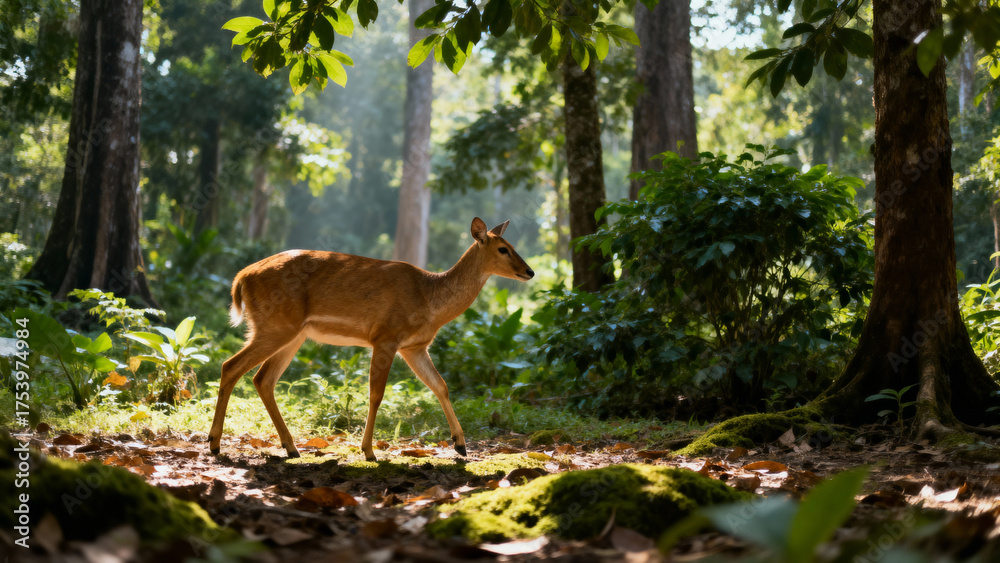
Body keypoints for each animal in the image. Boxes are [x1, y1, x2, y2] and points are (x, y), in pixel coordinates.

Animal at [209, 217, 534, 461]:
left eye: (513, 246)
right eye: (503, 249)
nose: (529, 271)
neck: (430, 298)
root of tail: (240, 279)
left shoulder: (414, 347)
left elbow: (440, 385)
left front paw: (461, 445)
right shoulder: (385, 336)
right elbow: (376, 394)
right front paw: (368, 451)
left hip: (292, 333)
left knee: (262, 378)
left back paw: (291, 448)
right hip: (275, 325)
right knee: (231, 366)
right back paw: (214, 443)